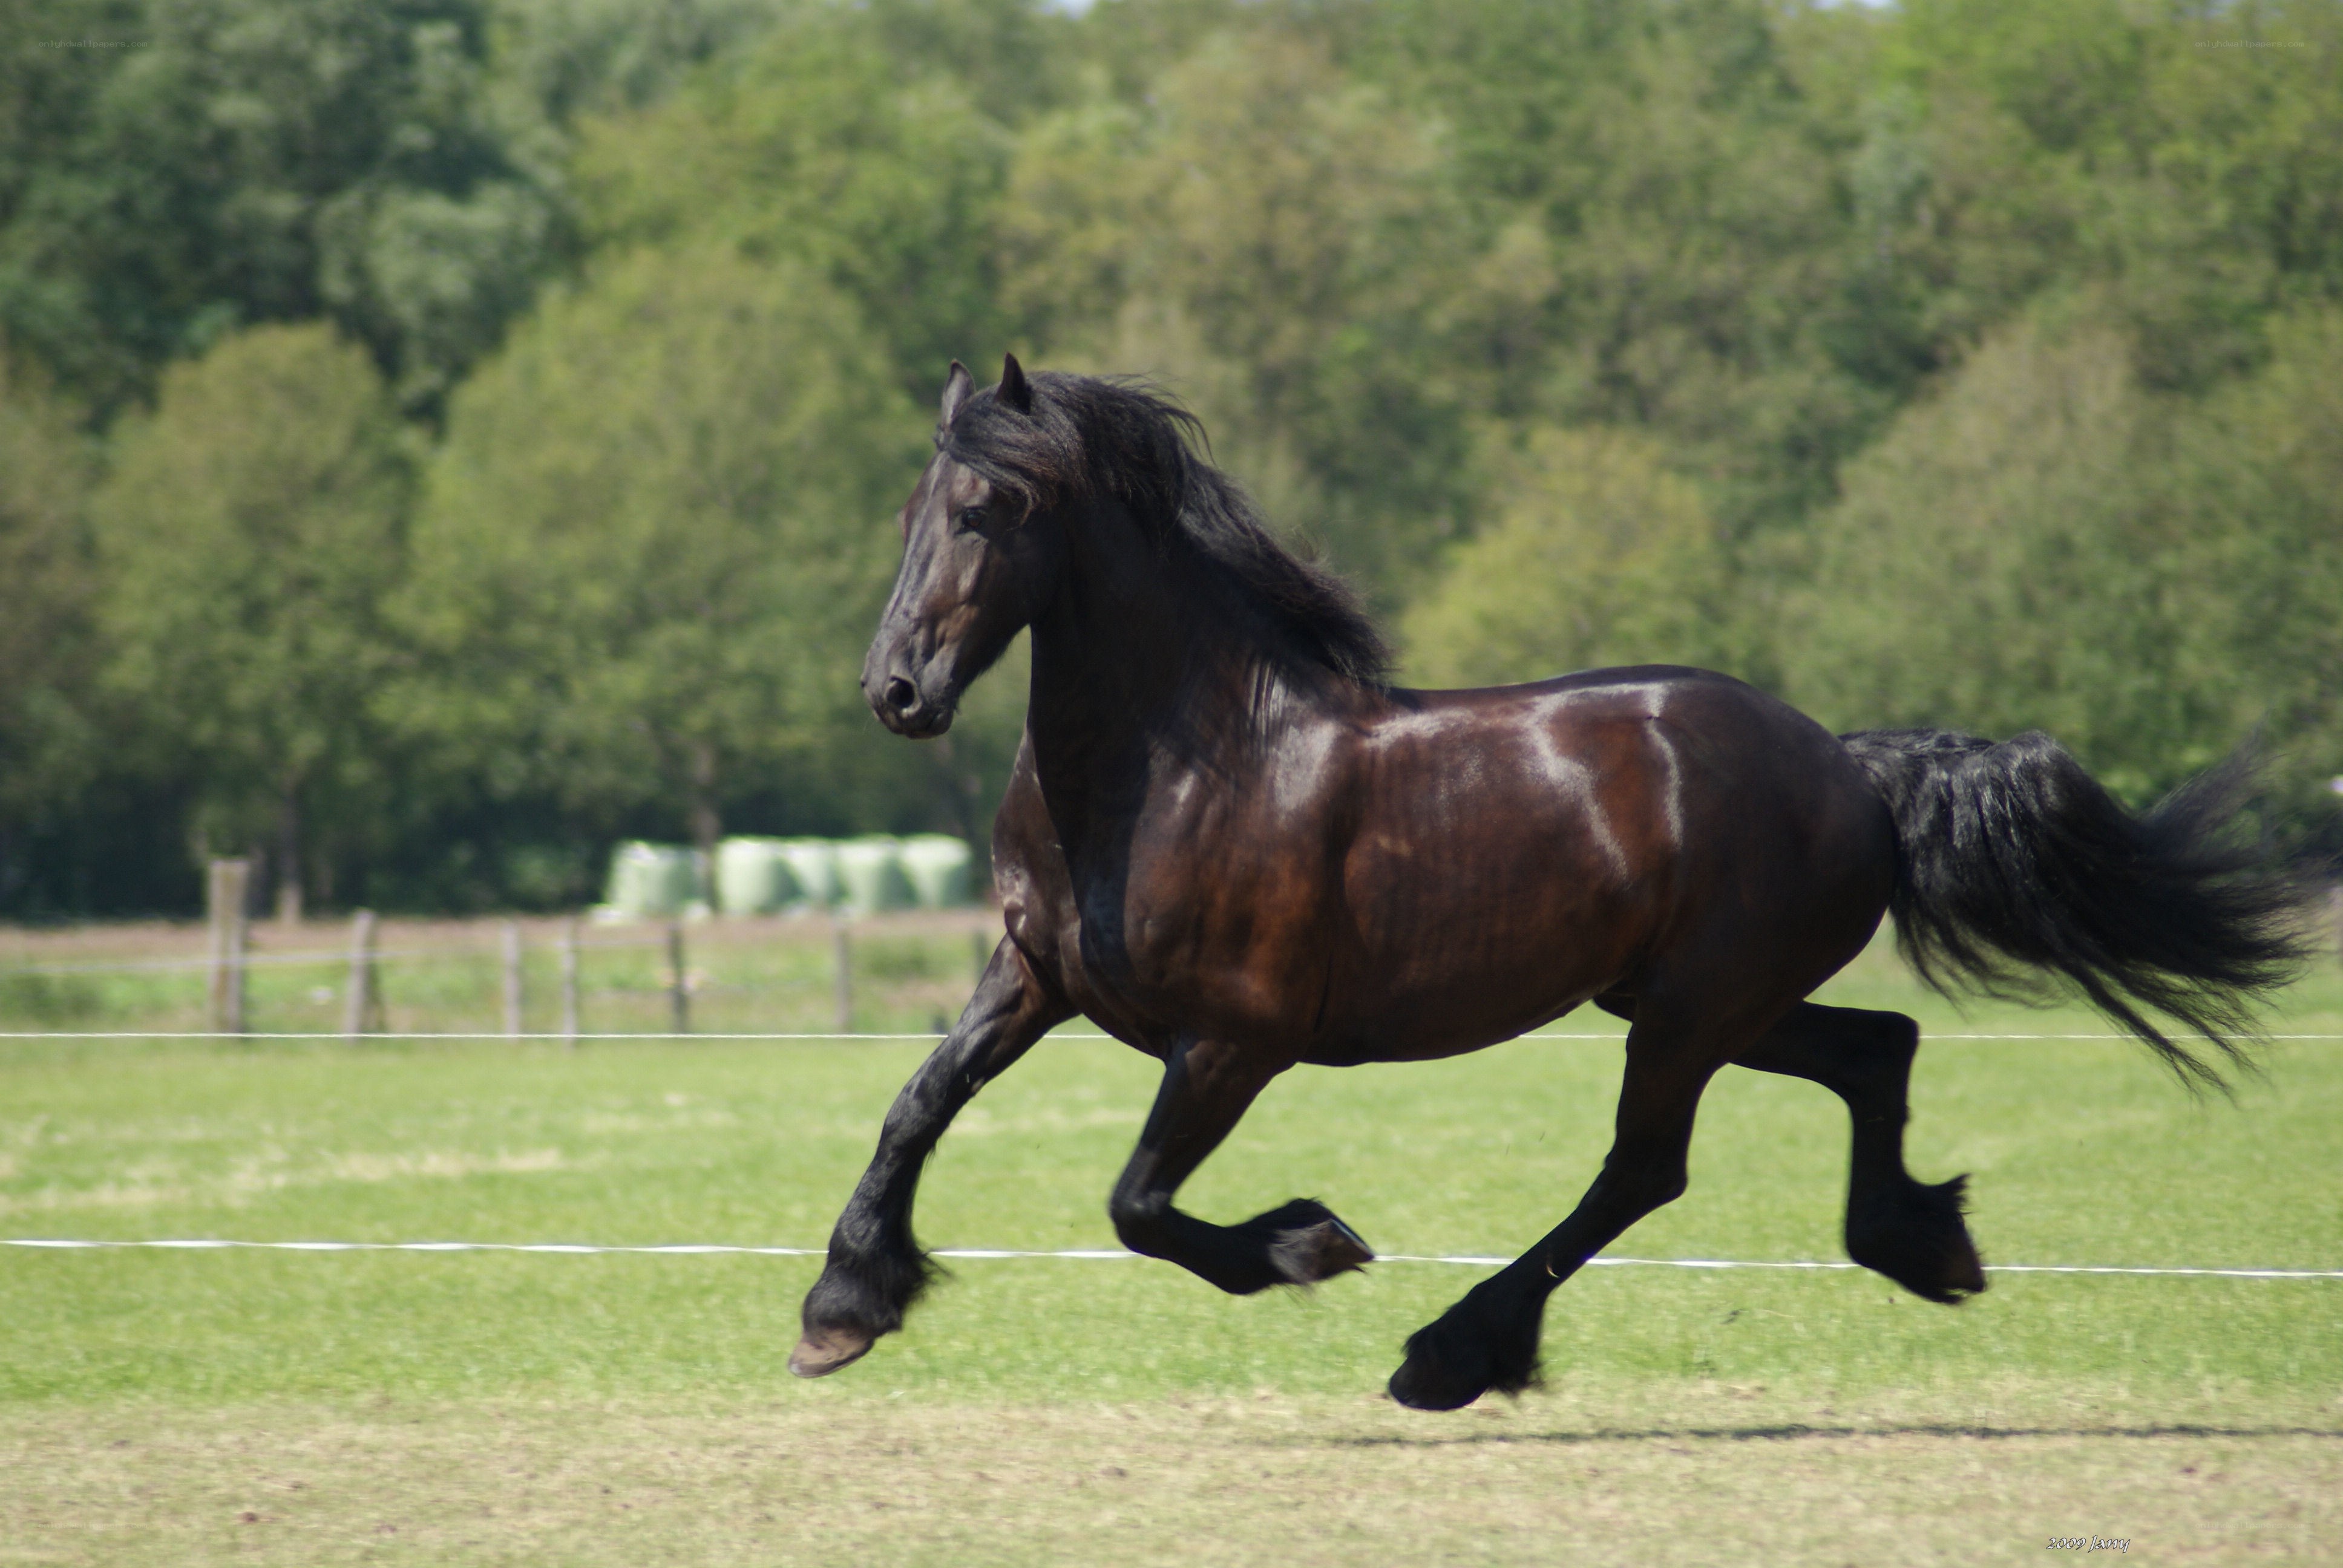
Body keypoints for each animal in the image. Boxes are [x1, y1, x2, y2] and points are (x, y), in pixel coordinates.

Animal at [790, 356, 2304, 1411]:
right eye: (913, 507)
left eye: (992, 506)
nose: (896, 692)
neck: (1184, 764)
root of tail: (1848, 766)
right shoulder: (1034, 974)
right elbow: (915, 1104)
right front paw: (841, 1309)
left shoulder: (1233, 1041)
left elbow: (1138, 1204)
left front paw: (1310, 1244)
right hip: (1701, 1000)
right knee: (1876, 1047)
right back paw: (1921, 1246)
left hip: (1690, 1013)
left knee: (1644, 1168)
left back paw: (1451, 1354)